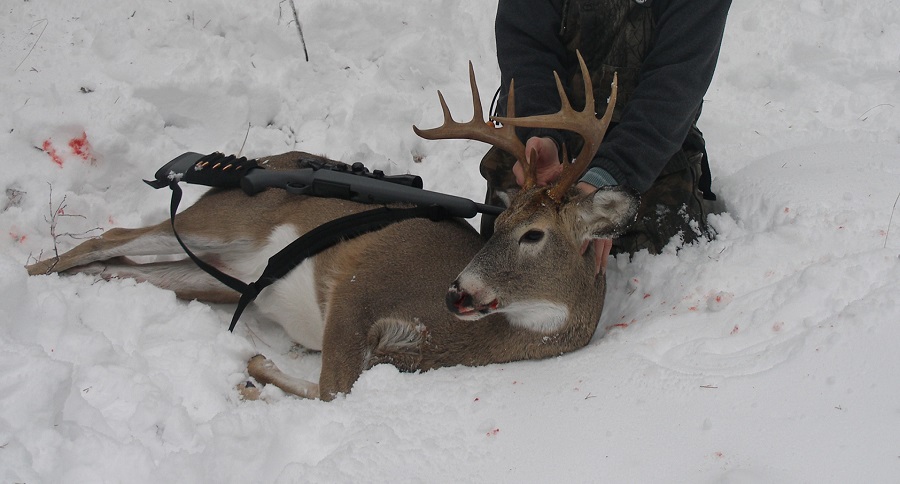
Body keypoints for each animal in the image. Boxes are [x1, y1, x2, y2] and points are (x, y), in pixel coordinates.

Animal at [24, 54, 636, 400]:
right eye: (501, 220)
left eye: (533, 234)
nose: (457, 291)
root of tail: (264, 162)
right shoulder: (361, 280)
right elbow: (331, 389)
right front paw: (255, 366)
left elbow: (338, 387)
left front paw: (256, 368)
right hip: (227, 222)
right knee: (110, 238)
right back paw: (29, 274)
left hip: (219, 277)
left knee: (124, 264)